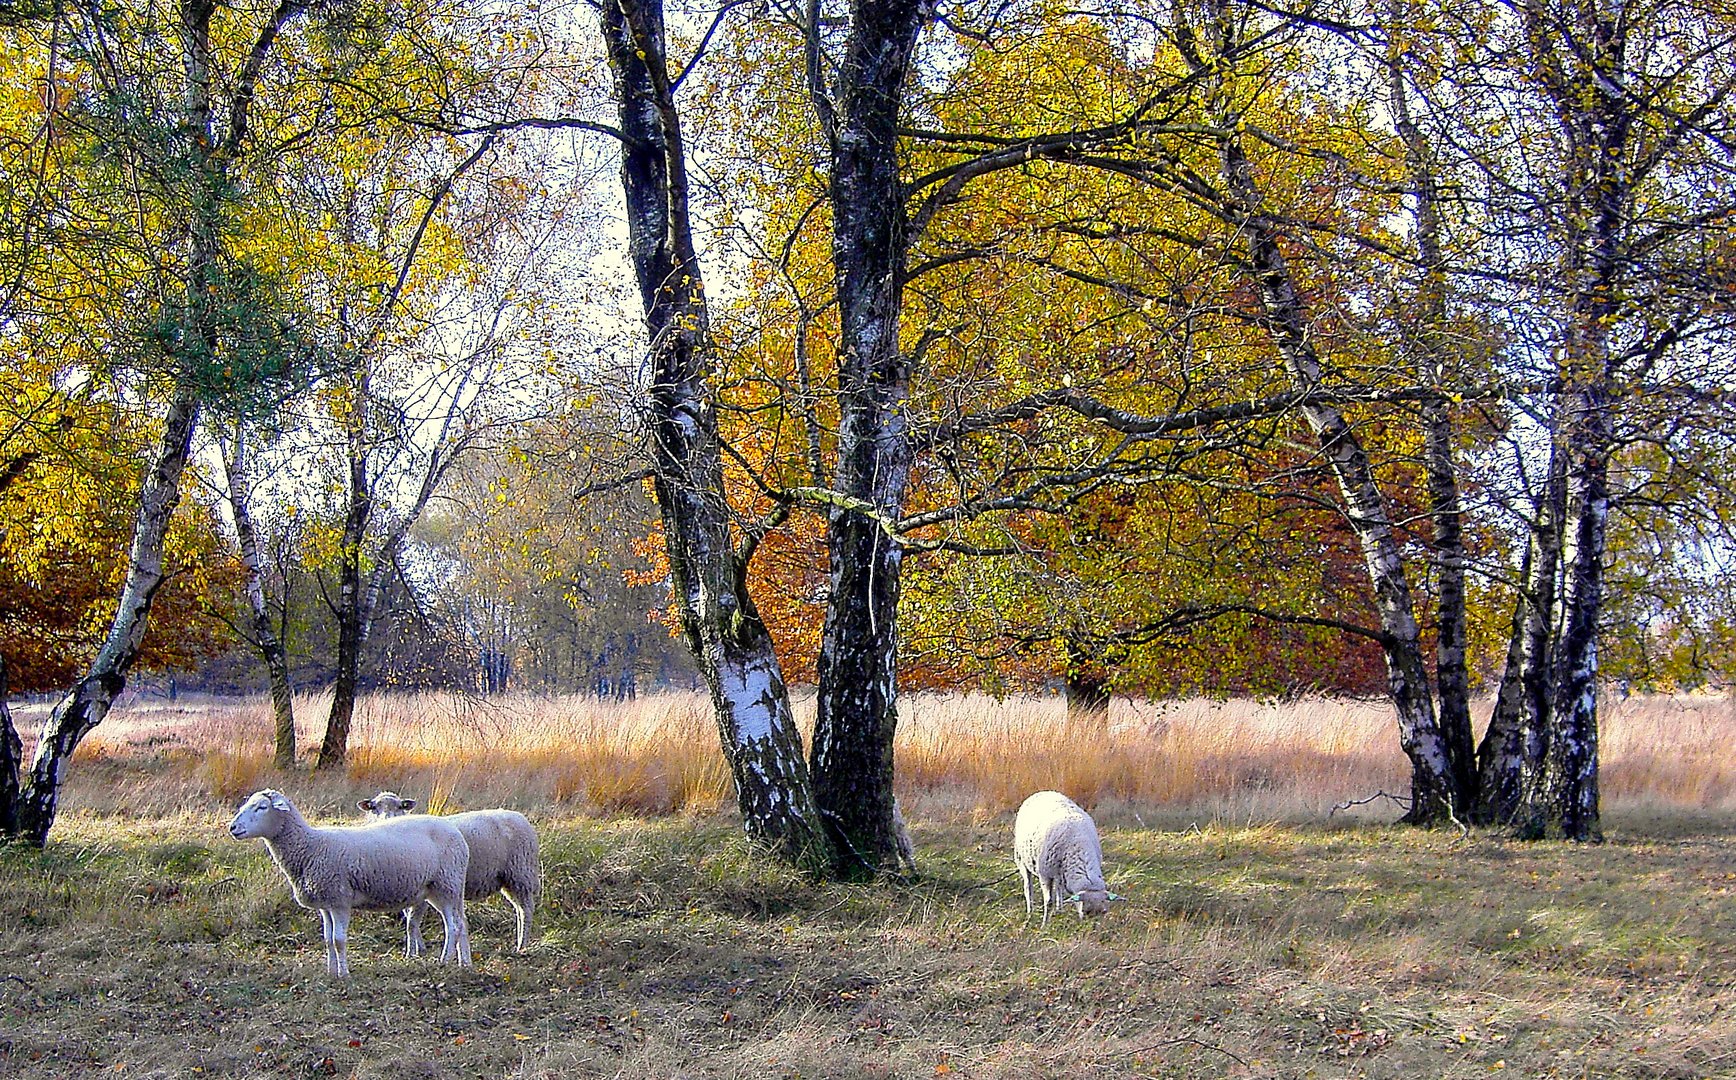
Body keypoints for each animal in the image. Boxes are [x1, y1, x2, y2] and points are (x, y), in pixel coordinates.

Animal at [230, 788, 479, 979]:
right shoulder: (326, 904)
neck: (310, 847)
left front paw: (344, 974)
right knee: (459, 923)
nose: (232, 828)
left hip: (446, 885)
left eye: (262, 807)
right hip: (441, 889)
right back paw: (463, 963)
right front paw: (331, 972)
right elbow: (328, 940)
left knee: (453, 926)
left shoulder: (340, 900)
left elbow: (339, 940)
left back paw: (444, 961)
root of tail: (456, 832)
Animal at [355, 795, 538, 958]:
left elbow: (412, 922)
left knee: (526, 911)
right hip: (508, 879)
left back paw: (522, 946)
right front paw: (419, 949)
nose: (387, 818)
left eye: (400, 807)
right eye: (373, 808)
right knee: (519, 909)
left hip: (521, 874)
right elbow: (410, 918)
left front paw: (412, 952)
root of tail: (519, 816)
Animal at [1013, 788, 1117, 930]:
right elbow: (1048, 901)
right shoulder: (1045, 875)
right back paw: (1030, 912)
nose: (1092, 930)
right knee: (1028, 888)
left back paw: (1059, 909)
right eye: (1086, 912)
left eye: (1103, 912)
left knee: (1059, 888)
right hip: (1022, 860)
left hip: (1058, 871)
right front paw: (1044, 924)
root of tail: (1044, 791)